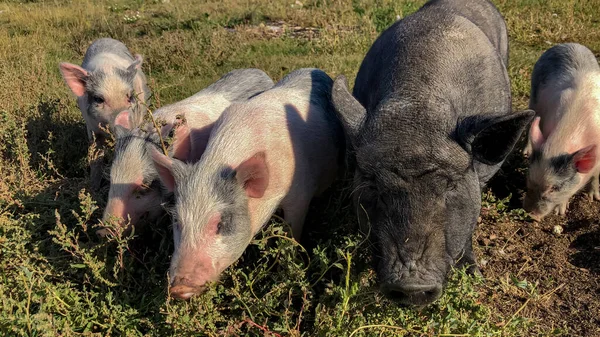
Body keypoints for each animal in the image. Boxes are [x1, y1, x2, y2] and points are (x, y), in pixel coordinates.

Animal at [59, 37, 151, 189]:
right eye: (99, 99)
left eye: (130, 96)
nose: (123, 117)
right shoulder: (91, 128)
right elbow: (96, 157)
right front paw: (93, 188)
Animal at [149, 67, 342, 298]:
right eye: (177, 221)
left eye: (221, 224)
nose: (179, 288)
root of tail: (316, 70)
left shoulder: (300, 194)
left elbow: (293, 231)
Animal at [520, 42, 600, 220]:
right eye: (529, 177)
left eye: (555, 188)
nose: (530, 215)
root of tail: (567, 44)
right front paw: (561, 212)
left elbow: (595, 176)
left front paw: (595, 198)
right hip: (534, 97)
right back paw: (526, 152)